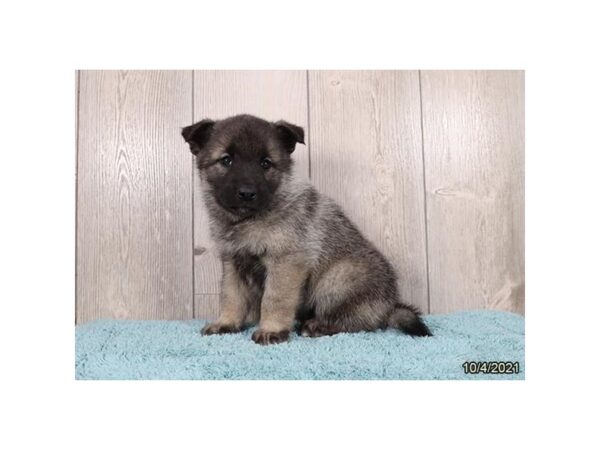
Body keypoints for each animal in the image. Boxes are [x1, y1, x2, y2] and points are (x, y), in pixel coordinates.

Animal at [183, 113, 432, 344]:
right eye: (226, 161)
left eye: (266, 163)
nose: (247, 193)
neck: (250, 219)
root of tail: (390, 306)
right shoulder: (233, 263)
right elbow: (230, 295)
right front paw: (226, 323)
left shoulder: (286, 262)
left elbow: (274, 298)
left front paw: (271, 329)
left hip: (337, 279)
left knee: (360, 321)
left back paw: (316, 326)